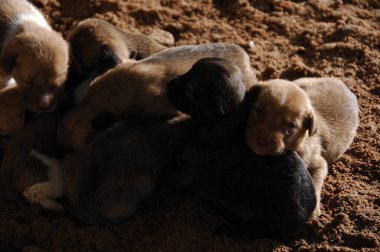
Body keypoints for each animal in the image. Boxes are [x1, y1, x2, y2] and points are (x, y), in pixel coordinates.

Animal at [166, 58, 318, 241]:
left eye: (189, 89)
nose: (169, 82)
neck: (226, 129)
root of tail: (297, 225)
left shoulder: (188, 171)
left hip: (251, 216)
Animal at [245, 77, 358, 217]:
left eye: (291, 125)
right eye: (259, 110)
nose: (262, 140)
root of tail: (341, 82)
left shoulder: (318, 163)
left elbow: (315, 183)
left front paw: (314, 210)